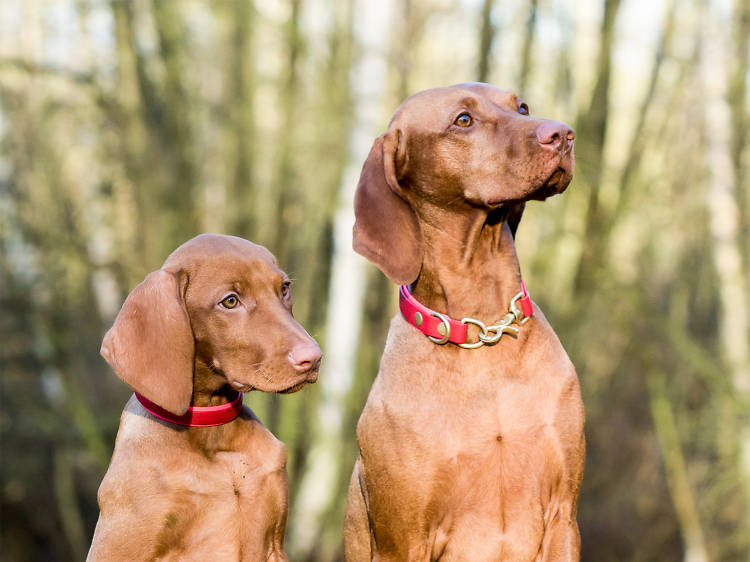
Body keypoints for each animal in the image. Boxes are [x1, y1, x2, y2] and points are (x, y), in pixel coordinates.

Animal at [346, 84, 588, 560]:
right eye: (463, 120)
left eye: (522, 107)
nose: (564, 134)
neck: (483, 327)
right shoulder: (404, 541)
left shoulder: (563, 516)